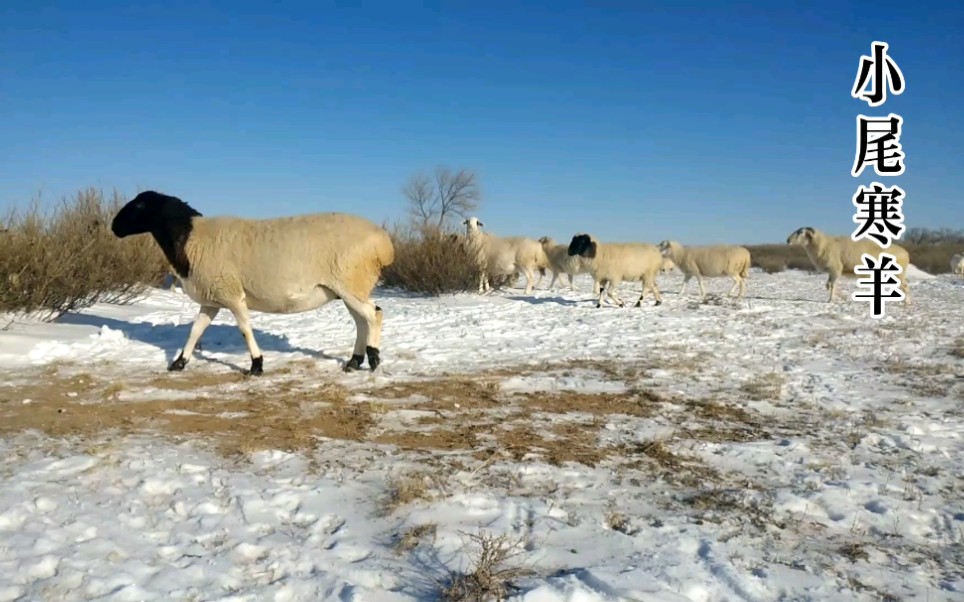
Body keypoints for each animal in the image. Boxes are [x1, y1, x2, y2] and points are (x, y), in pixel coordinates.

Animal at [112, 190, 396, 372]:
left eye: (139, 206)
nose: (114, 226)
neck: (190, 239)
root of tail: (384, 245)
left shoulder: (231, 293)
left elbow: (245, 329)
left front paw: (256, 365)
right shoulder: (213, 299)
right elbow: (196, 330)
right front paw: (179, 363)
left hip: (350, 283)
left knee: (374, 315)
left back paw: (373, 359)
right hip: (348, 288)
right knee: (362, 321)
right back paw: (354, 362)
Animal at [784, 225, 912, 302]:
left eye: (801, 232)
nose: (787, 240)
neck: (823, 244)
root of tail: (906, 253)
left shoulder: (836, 269)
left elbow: (832, 285)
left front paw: (831, 300)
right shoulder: (832, 271)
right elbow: (828, 285)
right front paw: (841, 296)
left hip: (898, 273)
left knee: (905, 286)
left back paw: (907, 304)